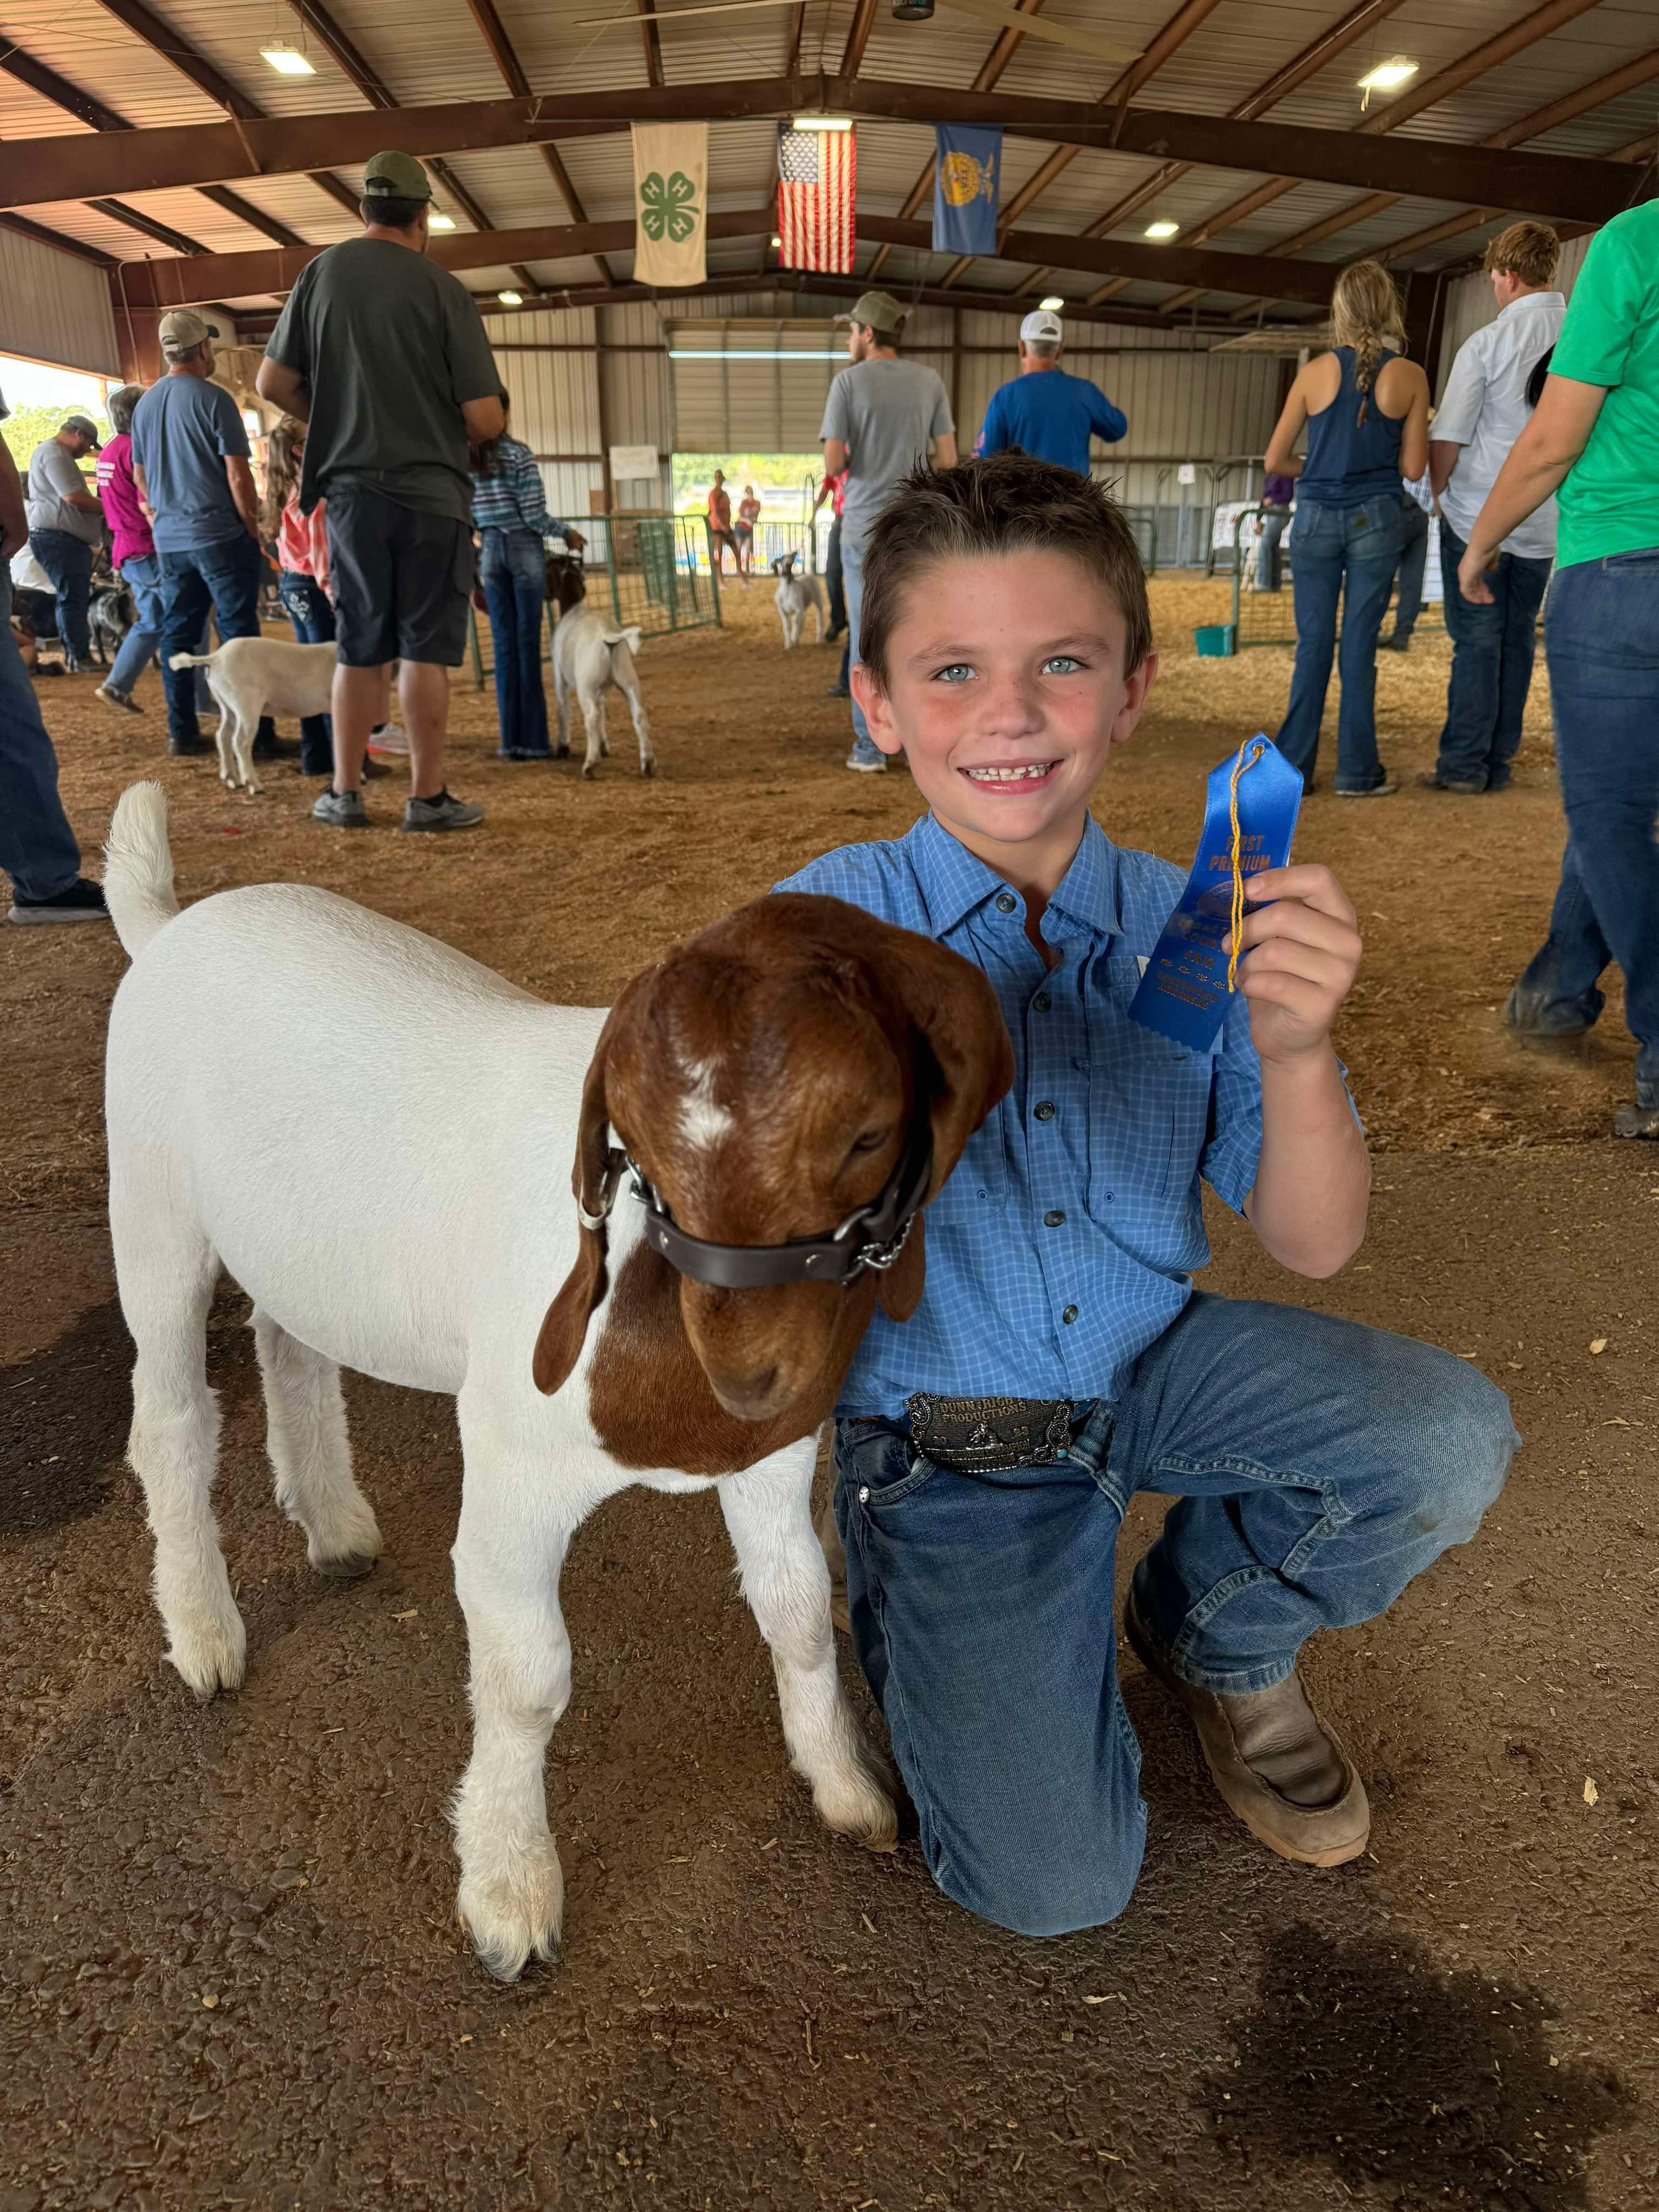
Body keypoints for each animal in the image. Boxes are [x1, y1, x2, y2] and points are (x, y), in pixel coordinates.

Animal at [107, 792, 1013, 1991]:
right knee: (170, 1420)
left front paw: (846, 1784)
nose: (747, 1369)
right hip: (154, 1210)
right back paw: (207, 1632)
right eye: (642, 1150)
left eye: (867, 1133)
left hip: (295, 1246)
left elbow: (794, 1606)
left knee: (289, 1342)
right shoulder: (510, 1468)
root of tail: (168, 925)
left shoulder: (774, 1456)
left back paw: (335, 1522)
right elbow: (529, 1675)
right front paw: (508, 1889)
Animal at [546, 548, 650, 783]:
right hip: (628, 680)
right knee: (639, 715)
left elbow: (563, 707)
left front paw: (563, 747)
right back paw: (648, 763)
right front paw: (603, 746)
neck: (573, 609)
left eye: (548, 567)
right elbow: (603, 710)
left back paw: (590, 765)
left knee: (591, 716)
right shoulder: (599, 688)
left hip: (585, 686)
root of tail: (608, 638)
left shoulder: (560, 675)